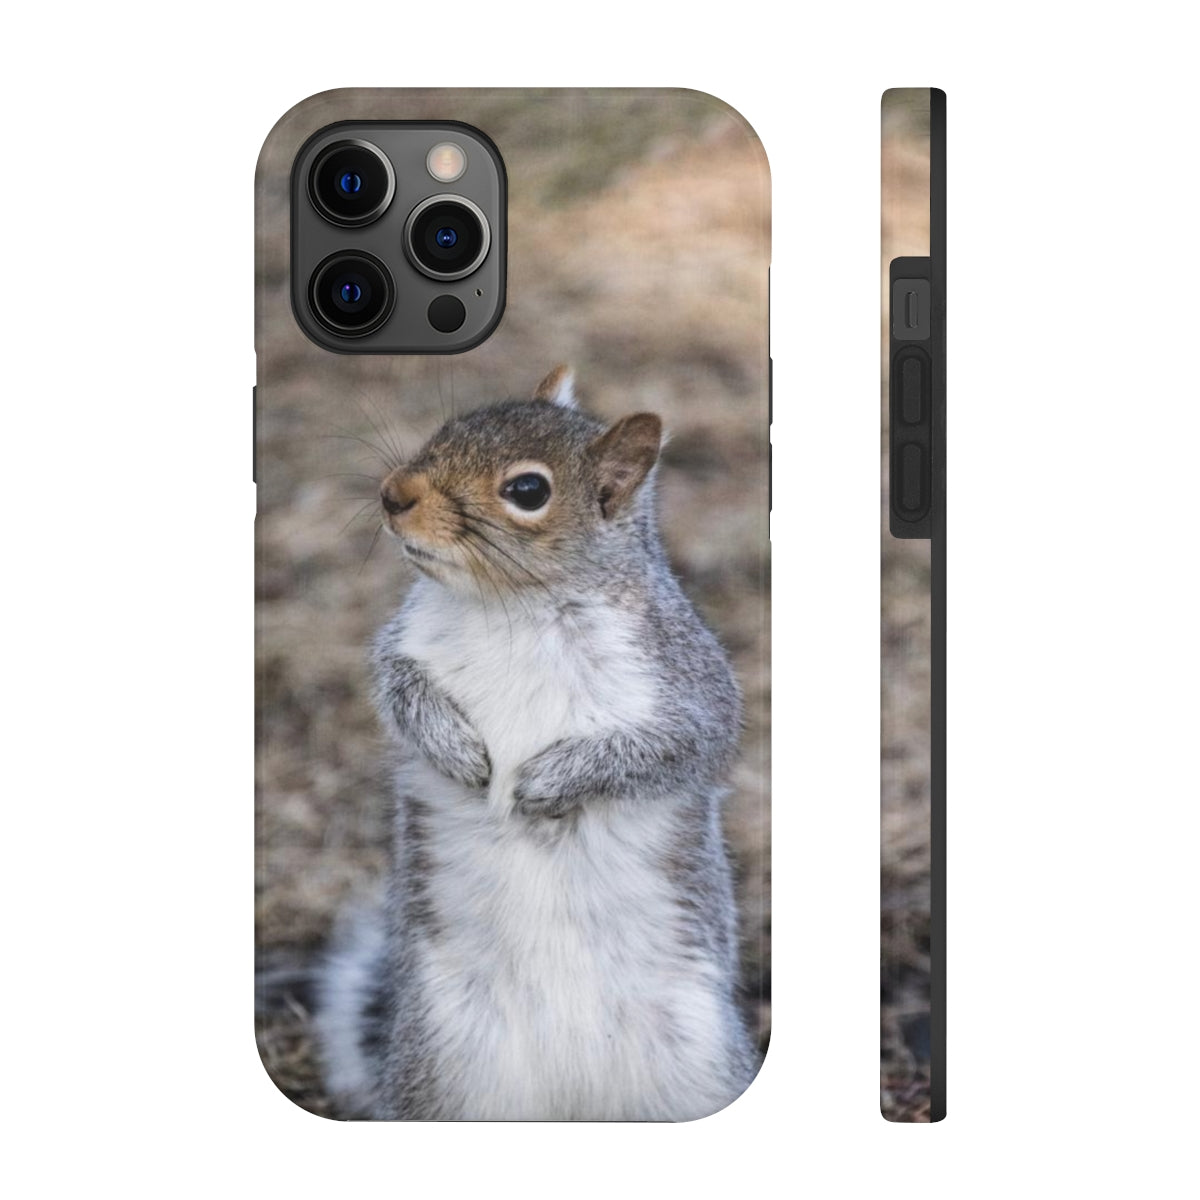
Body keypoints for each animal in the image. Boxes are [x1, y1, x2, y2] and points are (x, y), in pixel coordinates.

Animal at [315, 366, 759, 1120]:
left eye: (528, 491)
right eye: (448, 428)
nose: (393, 494)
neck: (514, 606)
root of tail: (568, 1096)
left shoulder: (686, 686)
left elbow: (673, 748)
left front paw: (550, 780)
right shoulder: (404, 645)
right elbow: (399, 690)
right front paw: (455, 748)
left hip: (692, 1066)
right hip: (448, 1068)